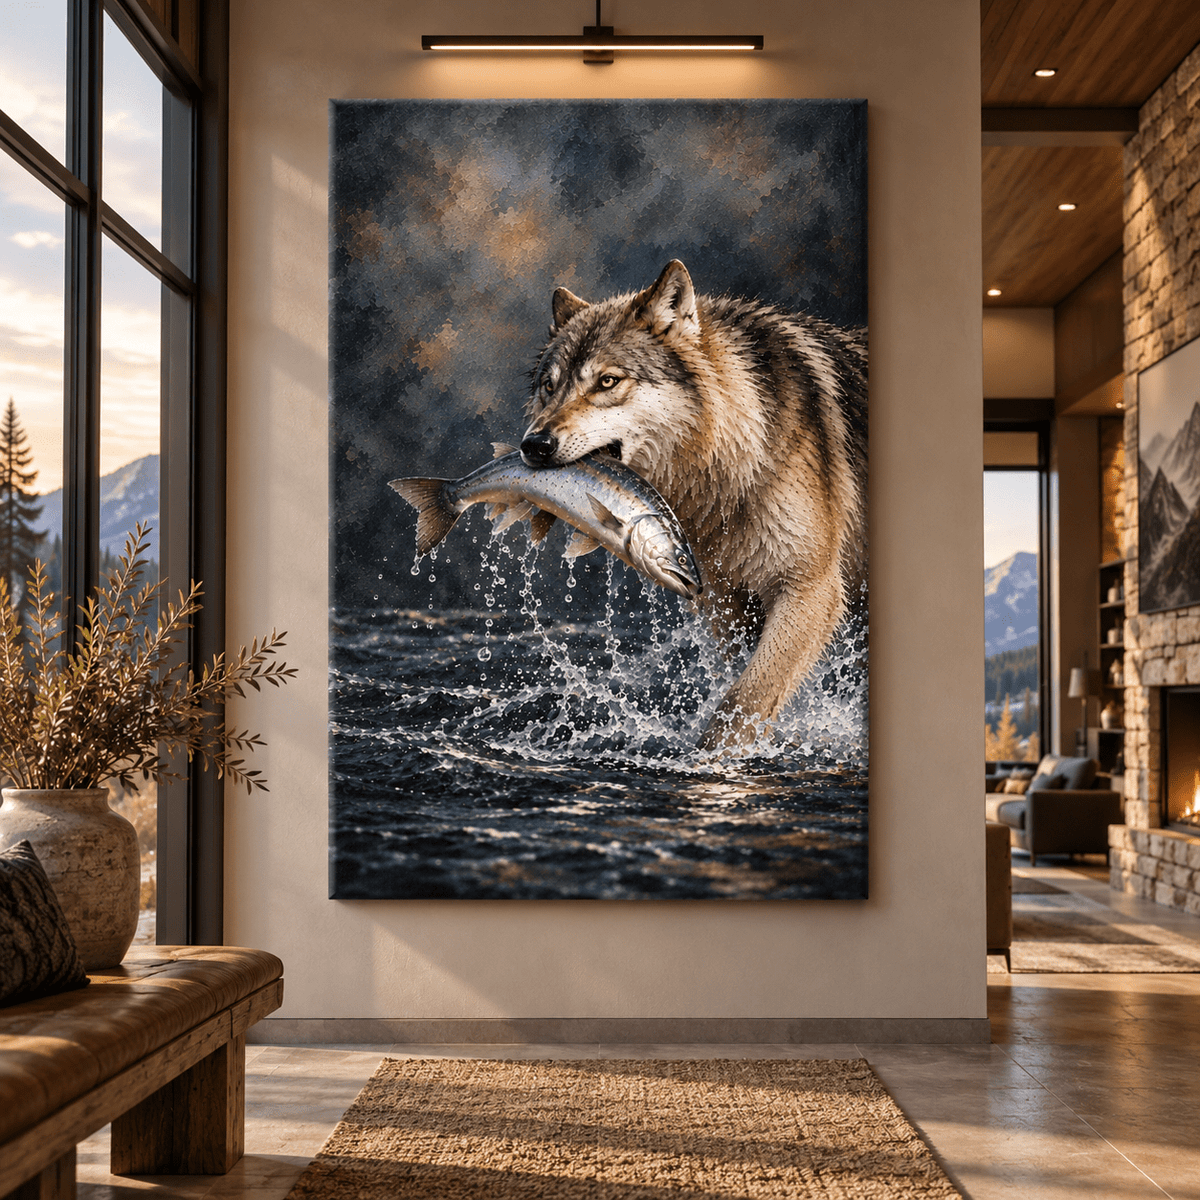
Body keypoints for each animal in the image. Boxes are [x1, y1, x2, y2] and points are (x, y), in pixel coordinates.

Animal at [519, 259, 867, 750]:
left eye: (608, 381)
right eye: (549, 387)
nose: (535, 445)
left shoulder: (810, 589)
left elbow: (743, 700)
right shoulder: (723, 603)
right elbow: (745, 692)